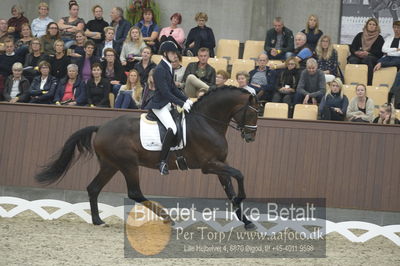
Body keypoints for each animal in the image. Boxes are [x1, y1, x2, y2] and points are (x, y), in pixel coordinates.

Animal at [34, 86, 260, 230]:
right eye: (252, 114)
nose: (251, 137)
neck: (207, 122)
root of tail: (101, 127)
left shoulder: (220, 163)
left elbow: (230, 187)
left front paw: (247, 220)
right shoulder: (208, 165)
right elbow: (239, 175)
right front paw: (242, 201)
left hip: (110, 165)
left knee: (93, 188)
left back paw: (98, 220)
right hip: (128, 164)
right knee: (134, 192)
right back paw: (168, 218)